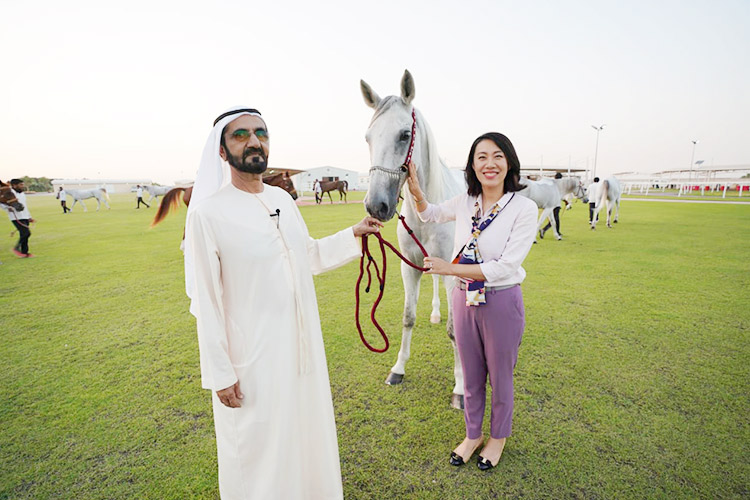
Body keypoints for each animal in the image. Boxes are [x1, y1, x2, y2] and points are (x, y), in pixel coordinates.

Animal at [362, 70, 468, 408]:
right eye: (368, 138)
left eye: (403, 135)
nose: (376, 205)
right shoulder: (409, 265)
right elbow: (408, 317)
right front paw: (397, 369)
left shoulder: (453, 269)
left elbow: (455, 330)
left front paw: (461, 387)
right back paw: (434, 313)